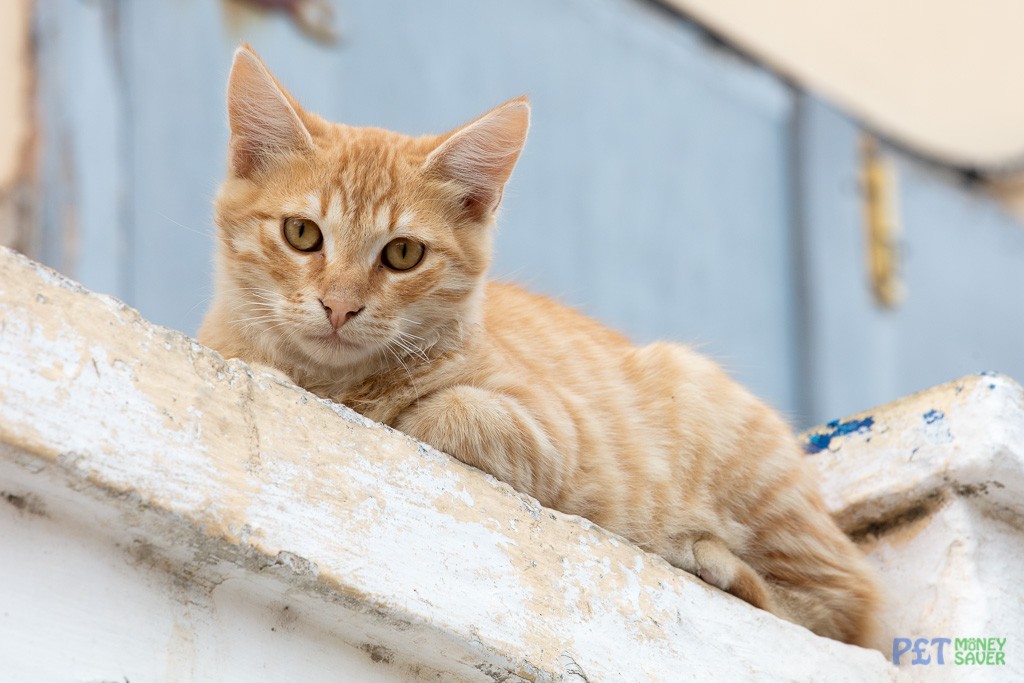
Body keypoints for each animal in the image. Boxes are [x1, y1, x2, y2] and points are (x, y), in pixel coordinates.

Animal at [199, 46, 880, 647]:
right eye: (301, 234)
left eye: (403, 254)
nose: (340, 306)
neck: (335, 381)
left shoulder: (555, 433)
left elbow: (449, 412)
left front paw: (394, 411)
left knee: (845, 611)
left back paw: (709, 558)